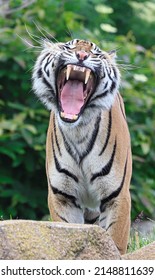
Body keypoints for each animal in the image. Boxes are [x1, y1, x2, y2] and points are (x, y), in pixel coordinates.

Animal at [32, 37, 132, 254]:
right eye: (68, 46)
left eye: (96, 53)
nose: (82, 55)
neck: (78, 130)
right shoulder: (62, 197)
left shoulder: (117, 196)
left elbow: (116, 242)